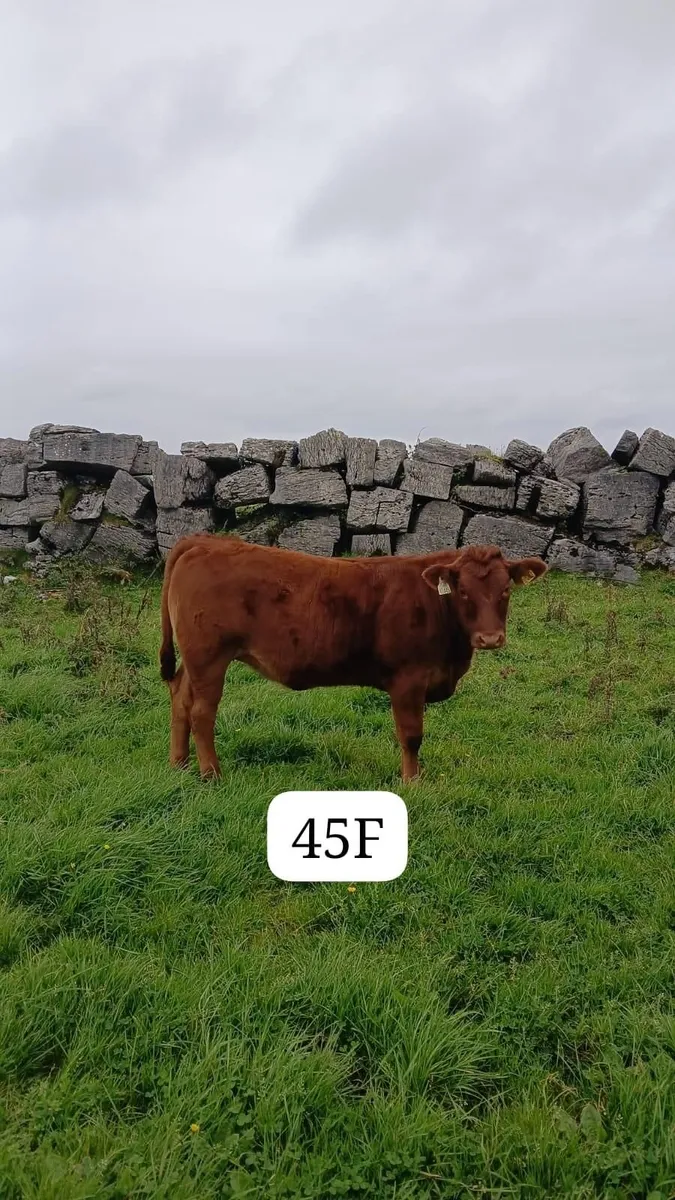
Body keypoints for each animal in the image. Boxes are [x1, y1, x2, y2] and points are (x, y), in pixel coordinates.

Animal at [159, 534, 547, 782]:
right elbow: (411, 736)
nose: (490, 638)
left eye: (506, 589)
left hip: (195, 661)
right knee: (201, 712)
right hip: (209, 657)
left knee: (180, 699)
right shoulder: (408, 681)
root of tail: (206, 541)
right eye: (463, 591)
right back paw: (211, 774)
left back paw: (179, 764)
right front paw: (412, 782)